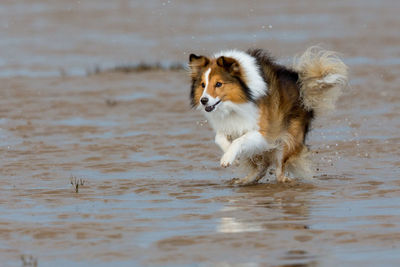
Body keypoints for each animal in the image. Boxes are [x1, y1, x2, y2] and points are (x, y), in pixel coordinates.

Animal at [188, 47, 346, 185]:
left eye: (219, 84)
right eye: (203, 85)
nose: (203, 100)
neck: (238, 102)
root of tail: (301, 85)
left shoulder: (264, 133)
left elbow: (239, 140)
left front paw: (227, 158)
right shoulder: (230, 125)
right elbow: (219, 138)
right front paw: (231, 156)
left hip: (288, 139)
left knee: (278, 170)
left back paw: (285, 180)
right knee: (261, 168)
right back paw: (245, 180)